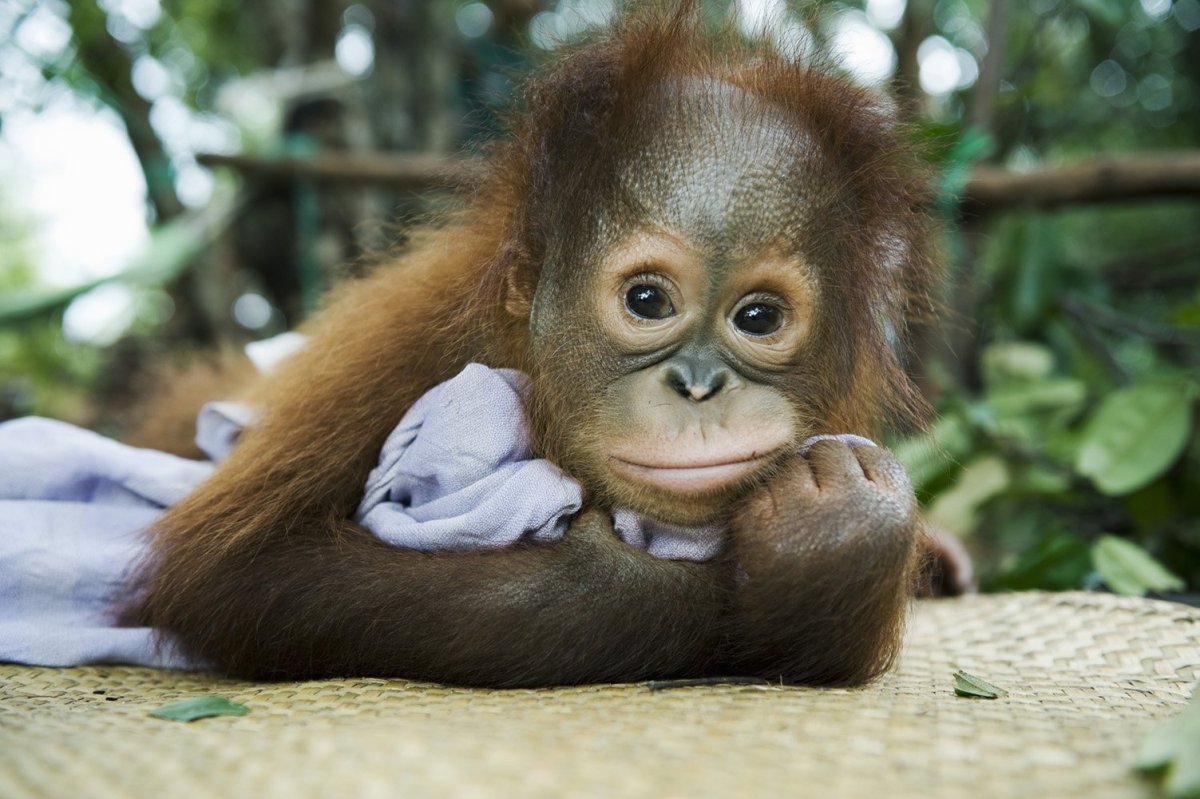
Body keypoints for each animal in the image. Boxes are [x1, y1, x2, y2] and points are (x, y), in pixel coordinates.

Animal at [124, 6, 946, 688]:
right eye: (647, 300)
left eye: (760, 317)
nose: (699, 385)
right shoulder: (408, 347)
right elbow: (243, 572)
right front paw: (822, 561)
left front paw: (847, 532)